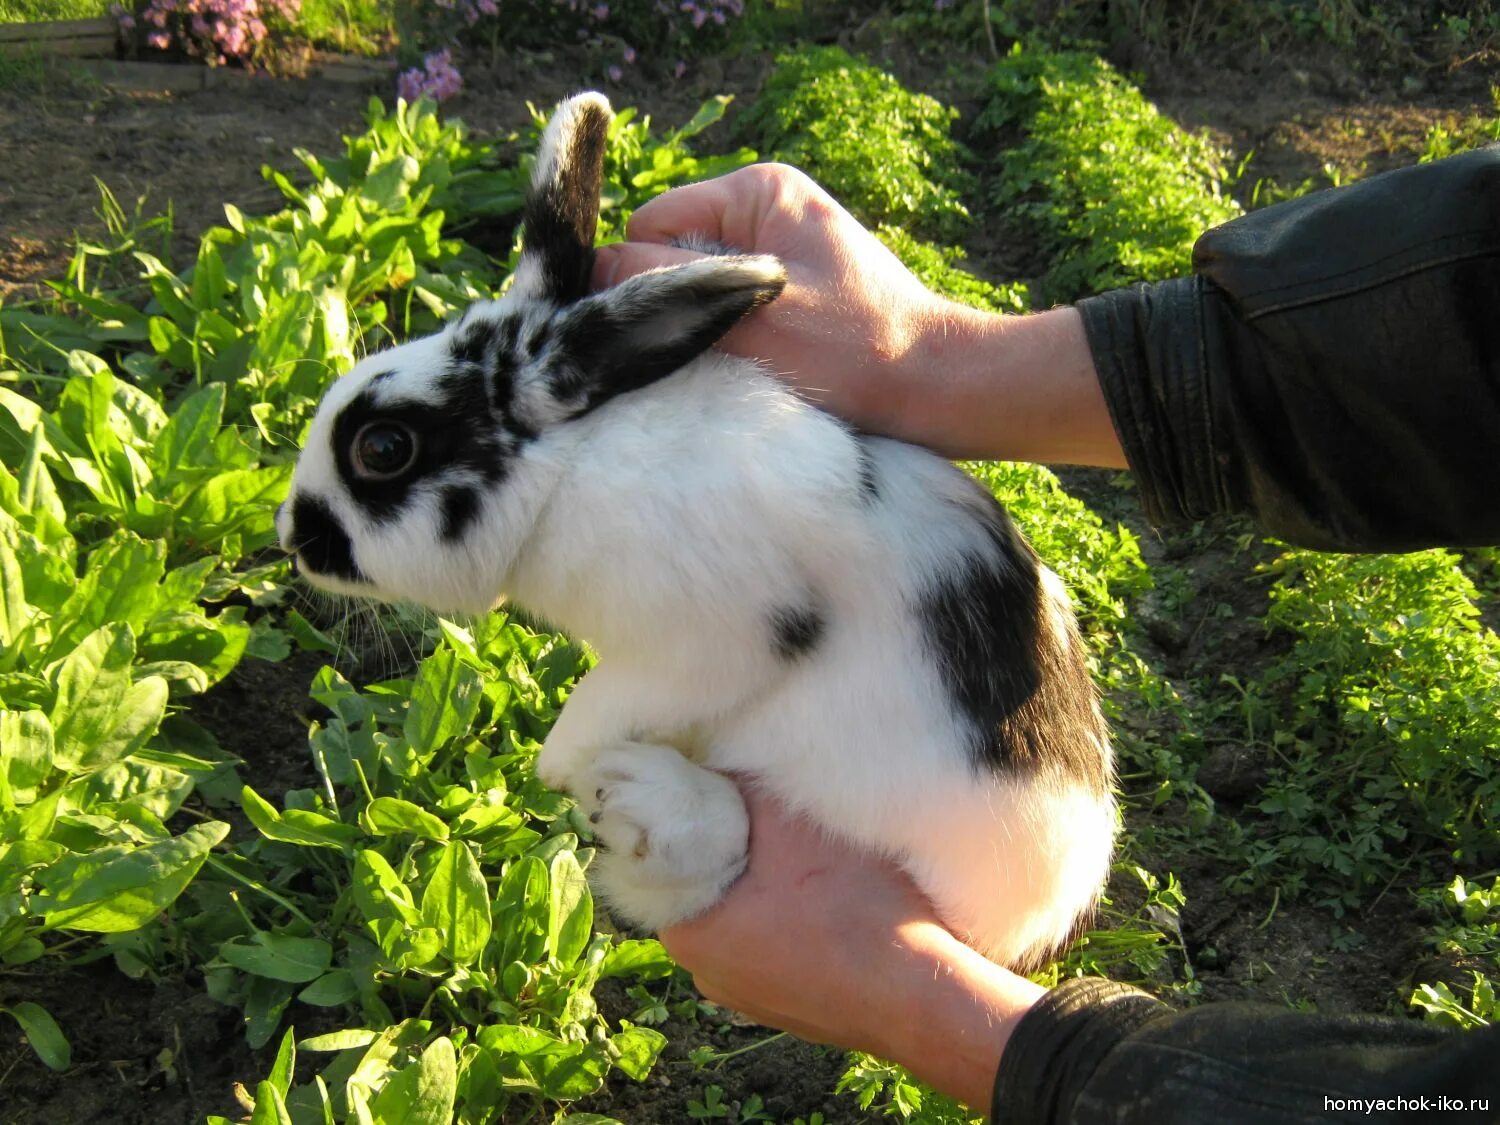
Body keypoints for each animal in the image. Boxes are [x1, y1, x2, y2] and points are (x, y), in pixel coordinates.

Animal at [279, 90, 1116, 972]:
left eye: (383, 448)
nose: (293, 536)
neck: (569, 467)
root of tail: (1028, 923)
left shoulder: (712, 641)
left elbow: (598, 709)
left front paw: (561, 765)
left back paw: (639, 799)